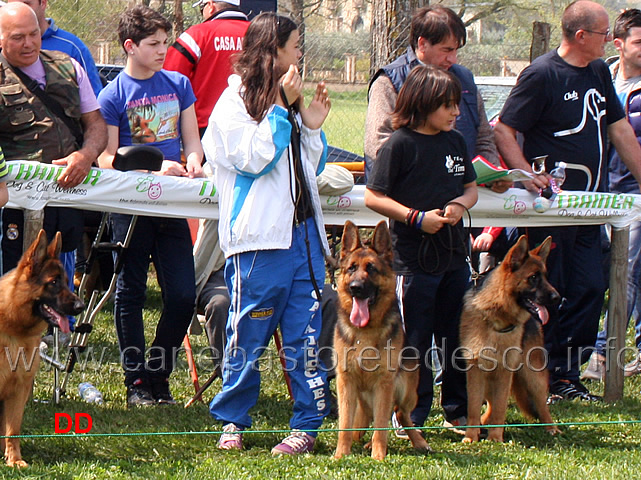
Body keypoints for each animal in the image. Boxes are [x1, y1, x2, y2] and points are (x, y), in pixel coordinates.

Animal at [0, 231, 84, 466]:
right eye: (53, 282)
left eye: (67, 282)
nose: (81, 306)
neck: (15, 329)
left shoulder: (19, 390)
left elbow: (13, 430)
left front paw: (14, 460)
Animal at [330, 221, 430, 462]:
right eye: (351, 268)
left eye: (372, 269)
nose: (356, 287)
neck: (364, 332)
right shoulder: (345, 383)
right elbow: (345, 424)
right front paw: (341, 454)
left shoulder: (384, 383)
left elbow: (381, 427)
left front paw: (378, 456)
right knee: (370, 417)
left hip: (405, 389)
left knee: (400, 414)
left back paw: (419, 442)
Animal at [460, 235, 560, 442]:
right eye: (533, 277)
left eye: (545, 276)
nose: (558, 297)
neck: (496, 319)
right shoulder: (476, 371)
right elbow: (473, 407)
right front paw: (471, 437)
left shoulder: (504, 372)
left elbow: (500, 408)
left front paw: (496, 438)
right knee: (489, 406)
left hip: (533, 377)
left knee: (542, 405)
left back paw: (552, 429)